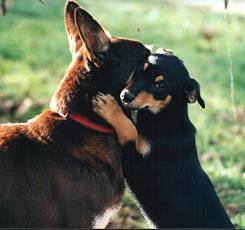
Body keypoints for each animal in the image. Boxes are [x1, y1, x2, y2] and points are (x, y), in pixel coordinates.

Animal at [93, 49, 234, 227]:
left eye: (160, 86)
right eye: (138, 70)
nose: (125, 96)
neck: (163, 118)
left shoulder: (138, 169)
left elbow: (130, 131)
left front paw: (110, 108)